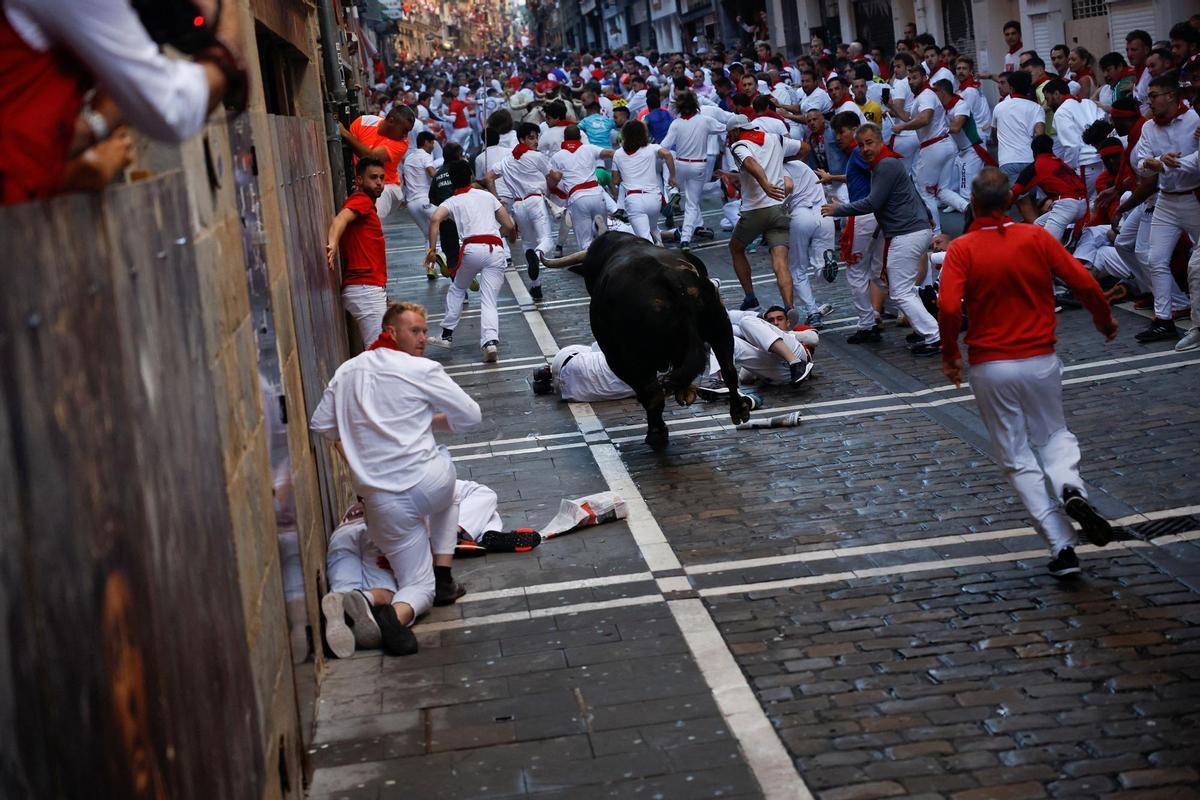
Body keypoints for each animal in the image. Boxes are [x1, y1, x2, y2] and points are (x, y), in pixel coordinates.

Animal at [544, 230, 748, 450]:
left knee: (652, 393)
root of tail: (669, 277)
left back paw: (656, 434)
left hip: (631, 357)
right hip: (720, 325)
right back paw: (739, 410)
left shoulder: (617, 357)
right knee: (728, 369)